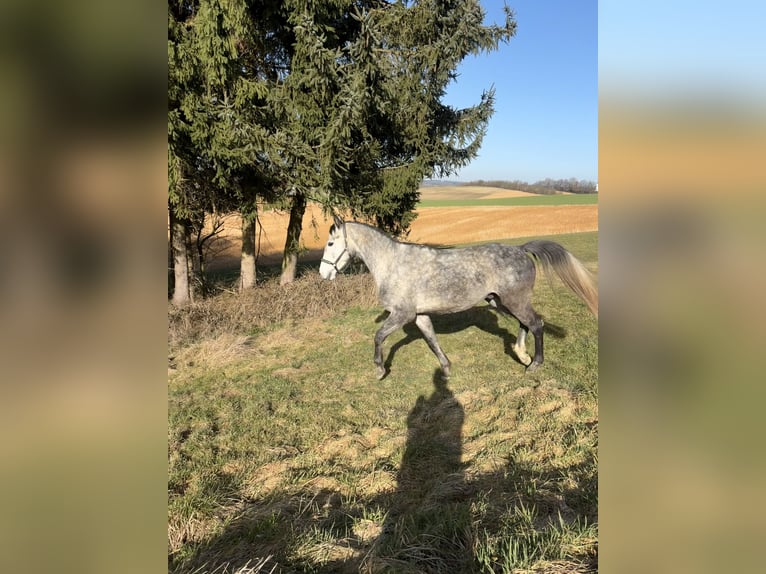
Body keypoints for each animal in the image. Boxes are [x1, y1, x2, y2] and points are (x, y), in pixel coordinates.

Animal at [319, 215, 597, 379]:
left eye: (331, 244)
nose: (323, 274)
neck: (393, 264)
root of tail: (521, 249)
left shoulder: (402, 314)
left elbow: (378, 337)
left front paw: (379, 369)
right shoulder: (419, 315)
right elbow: (431, 340)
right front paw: (446, 369)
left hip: (514, 301)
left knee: (536, 323)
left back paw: (534, 363)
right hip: (500, 301)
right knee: (526, 323)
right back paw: (522, 354)